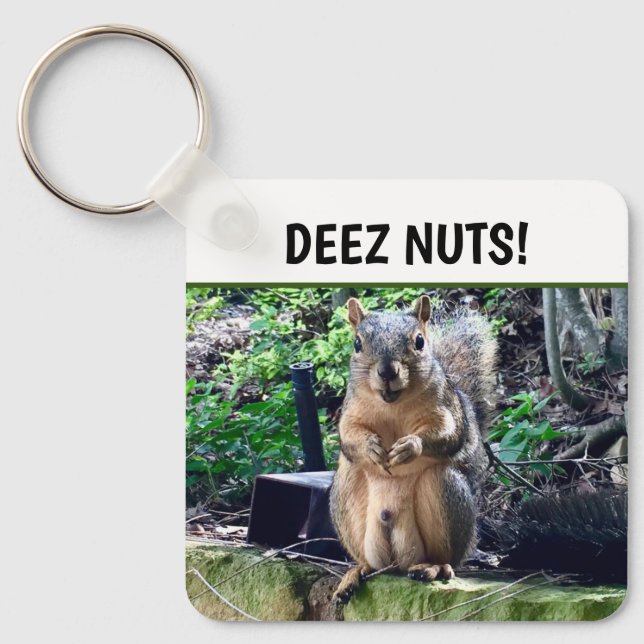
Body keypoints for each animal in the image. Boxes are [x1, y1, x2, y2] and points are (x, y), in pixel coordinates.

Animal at [329, 294, 498, 603]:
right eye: (357, 343)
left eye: (419, 341)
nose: (387, 371)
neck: (392, 404)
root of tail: (398, 562)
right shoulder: (350, 412)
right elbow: (349, 436)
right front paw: (371, 447)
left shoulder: (446, 408)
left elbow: (449, 434)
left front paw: (409, 447)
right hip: (346, 494)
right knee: (370, 563)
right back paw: (355, 573)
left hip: (444, 492)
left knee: (446, 558)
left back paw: (434, 567)